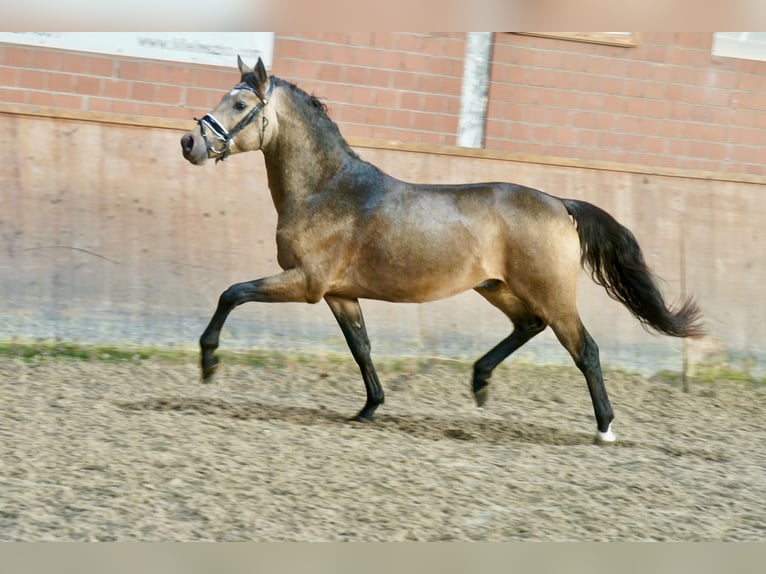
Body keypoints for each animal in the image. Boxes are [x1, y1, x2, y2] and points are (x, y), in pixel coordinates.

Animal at [178, 57, 704, 446]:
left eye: (240, 102)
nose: (189, 142)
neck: (326, 190)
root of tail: (560, 204)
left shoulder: (305, 283)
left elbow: (232, 293)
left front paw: (208, 363)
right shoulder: (339, 294)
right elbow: (360, 347)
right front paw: (369, 408)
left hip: (552, 293)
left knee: (584, 348)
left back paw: (604, 428)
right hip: (497, 287)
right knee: (528, 326)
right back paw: (480, 382)